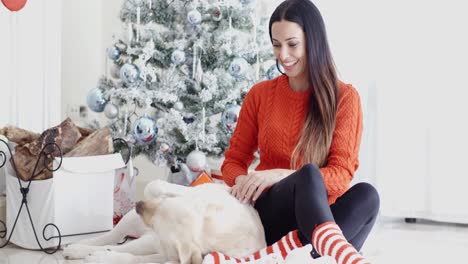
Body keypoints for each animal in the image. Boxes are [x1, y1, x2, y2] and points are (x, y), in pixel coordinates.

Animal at [63, 178, 314, 262]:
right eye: (162, 204)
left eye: (157, 223)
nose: (138, 205)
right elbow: (156, 184)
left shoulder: (166, 252)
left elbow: (132, 257)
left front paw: (105, 257)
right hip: (131, 226)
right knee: (109, 236)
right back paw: (77, 246)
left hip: (144, 241)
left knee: (120, 246)